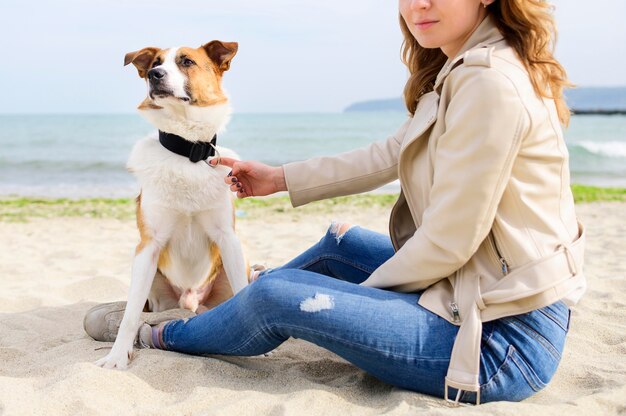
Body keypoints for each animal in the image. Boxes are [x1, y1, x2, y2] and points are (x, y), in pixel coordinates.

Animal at [94, 40, 247, 368]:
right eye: (155, 63)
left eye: (186, 61)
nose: (155, 75)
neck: (187, 152)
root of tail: (190, 299)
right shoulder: (148, 246)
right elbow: (130, 315)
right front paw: (117, 357)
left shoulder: (228, 239)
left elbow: (245, 291)